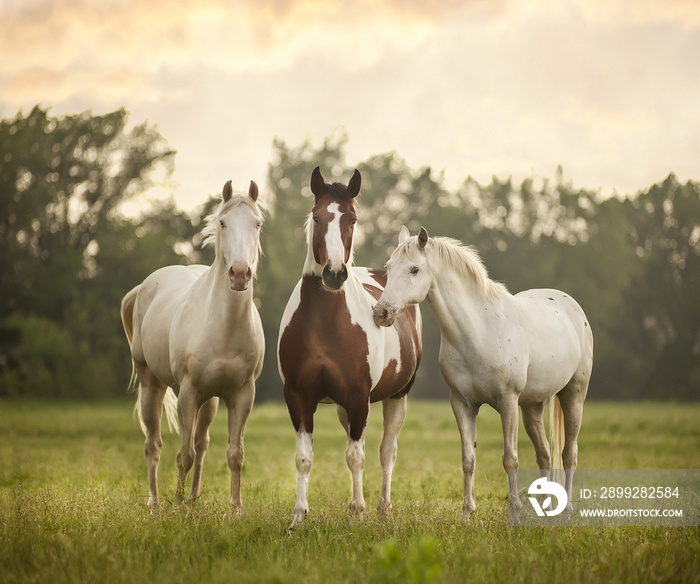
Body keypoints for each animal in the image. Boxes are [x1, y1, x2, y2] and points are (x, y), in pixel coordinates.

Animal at [119, 179, 264, 512]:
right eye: (223, 222)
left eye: (257, 224)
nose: (240, 273)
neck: (225, 328)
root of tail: (145, 286)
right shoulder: (187, 394)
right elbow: (184, 455)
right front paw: (178, 505)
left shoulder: (243, 395)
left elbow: (234, 454)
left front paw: (236, 508)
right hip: (152, 385)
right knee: (154, 444)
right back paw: (155, 503)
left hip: (209, 401)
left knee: (202, 442)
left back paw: (195, 498)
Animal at [278, 167, 422, 532]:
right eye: (316, 216)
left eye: (353, 219)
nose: (333, 273)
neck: (326, 324)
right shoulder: (298, 397)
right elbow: (304, 458)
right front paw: (298, 517)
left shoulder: (359, 397)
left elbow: (356, 456)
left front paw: (358, 513)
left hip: (396, 397)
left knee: (386, 451)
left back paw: (382, 508)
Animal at [374, 227, 592, 520]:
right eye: (388, 267)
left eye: (414, 269)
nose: (381, 312)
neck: (478, 330)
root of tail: (570, 304)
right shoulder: (462, 404)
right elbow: (468, 460)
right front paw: (467, 513)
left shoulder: (508, 402)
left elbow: (510, 459)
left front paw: (514, 510)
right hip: (532, 406)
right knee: (545, 453)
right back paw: (545, 507)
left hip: (573, 396)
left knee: (569, 454)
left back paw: (566, 510)